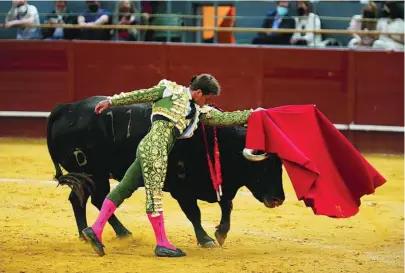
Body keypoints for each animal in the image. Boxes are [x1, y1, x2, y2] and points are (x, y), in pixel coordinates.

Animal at [46, 95, 284, 246]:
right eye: (264, 166)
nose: (279, 199)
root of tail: (66, 108)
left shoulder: (219, 184)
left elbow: (227, 206)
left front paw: (221, 233)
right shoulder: (182, 189)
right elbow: (194, 213)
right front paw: (206, 239)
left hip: (86, 176)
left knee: (79, 199)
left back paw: (87, 235)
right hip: (94, 173)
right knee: (97, 198)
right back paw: (120, 233)